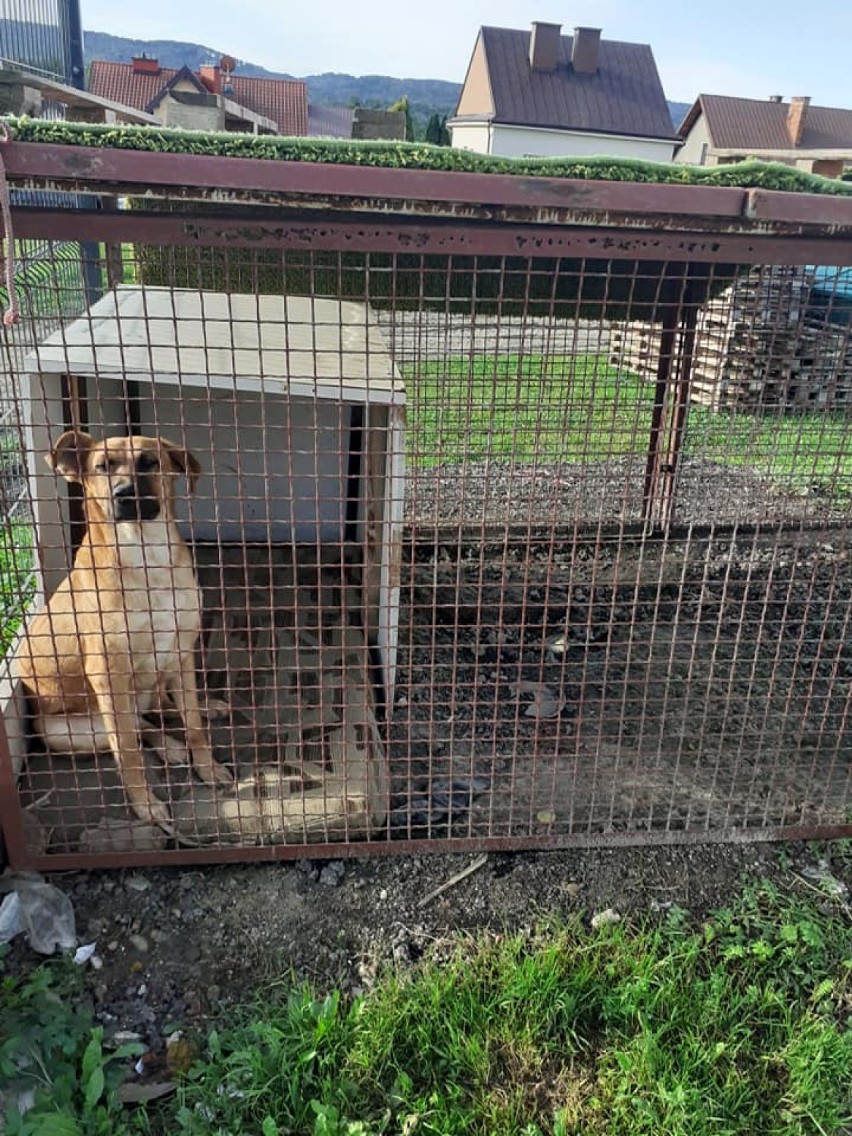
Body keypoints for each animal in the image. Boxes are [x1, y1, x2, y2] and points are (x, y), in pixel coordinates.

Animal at [15, 429, 231, 831]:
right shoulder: (107, 675)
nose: (124, 493)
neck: (148, 559)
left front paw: (207, 765)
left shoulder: (182, 651)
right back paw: (168, 746)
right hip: (71, 730)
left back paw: (201, 712)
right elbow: (128, 753)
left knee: (161, 706)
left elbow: (193, 722)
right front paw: (145, 805)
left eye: (149, 462)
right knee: (136, 727)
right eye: (102, 467)